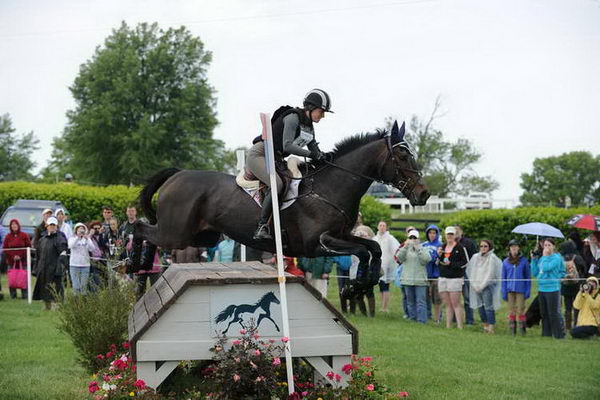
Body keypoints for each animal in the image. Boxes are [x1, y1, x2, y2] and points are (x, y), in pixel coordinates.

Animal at [132, 120, 432, 286]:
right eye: (402, 157)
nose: (424, 194)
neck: (330, 187)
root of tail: (178, 174)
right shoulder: (318, 243)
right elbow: (362, 251)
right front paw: (361, 281)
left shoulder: (343, 235)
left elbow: (373, 248)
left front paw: (366, 280)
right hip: (176, 233)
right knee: (139, 228)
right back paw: (135, 265)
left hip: (203, 236)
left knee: (148, 233)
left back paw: (141, 267)